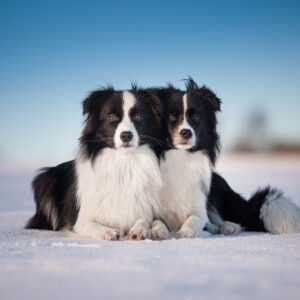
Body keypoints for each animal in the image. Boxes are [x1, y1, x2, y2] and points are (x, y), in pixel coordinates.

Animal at [26, 85, 165, 240]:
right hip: (45, 178)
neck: (123, 162)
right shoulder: (80, 220)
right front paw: (108, 232)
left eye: (138, 116)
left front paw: (141, 229)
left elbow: (147, 219)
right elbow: (91, 225)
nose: (126, 135)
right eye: (111, 116)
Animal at [151, 79, 300, 239]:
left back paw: (228, 227)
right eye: (170, 117)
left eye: (196, 117)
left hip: (219, 188)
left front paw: (186, 232)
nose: (186, 132)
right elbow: (156, 220)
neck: (179, 156)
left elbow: (195, 219)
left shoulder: (198, 204)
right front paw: (159, 230)